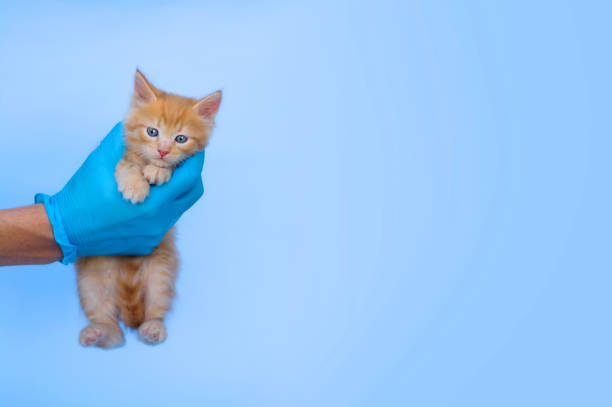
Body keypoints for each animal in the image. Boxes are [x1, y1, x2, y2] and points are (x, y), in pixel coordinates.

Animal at [74, 69, 220, 348]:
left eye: (180, 138)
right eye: (152, 131)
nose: (162, 151)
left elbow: (167, 169)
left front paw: (159, 171)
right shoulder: (124, 158)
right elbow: (127, 165)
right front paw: (134, 186)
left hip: (161, 271)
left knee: (154, 307)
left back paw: (152, 328)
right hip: (91, 281)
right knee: (111, 330)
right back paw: (100, 332)